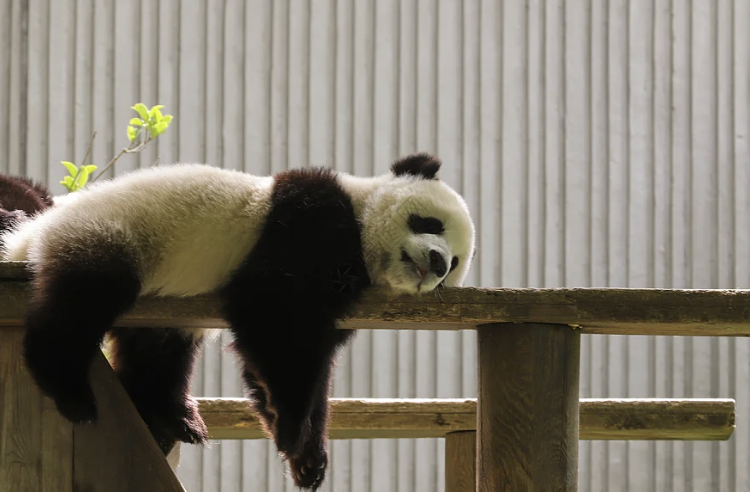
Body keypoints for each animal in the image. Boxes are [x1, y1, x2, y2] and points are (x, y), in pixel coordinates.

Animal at [0, 153, 476, 490]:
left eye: (454, 265)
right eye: (429, 222)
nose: (437, 263)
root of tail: (28, 237)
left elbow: (310, 359)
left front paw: (308, 458)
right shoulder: (309, 218)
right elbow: (272, 316)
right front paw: (290, 428)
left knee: (157, 351)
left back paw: (174, 416)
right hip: (107, 233)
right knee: (82, 301)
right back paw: (71, 391)